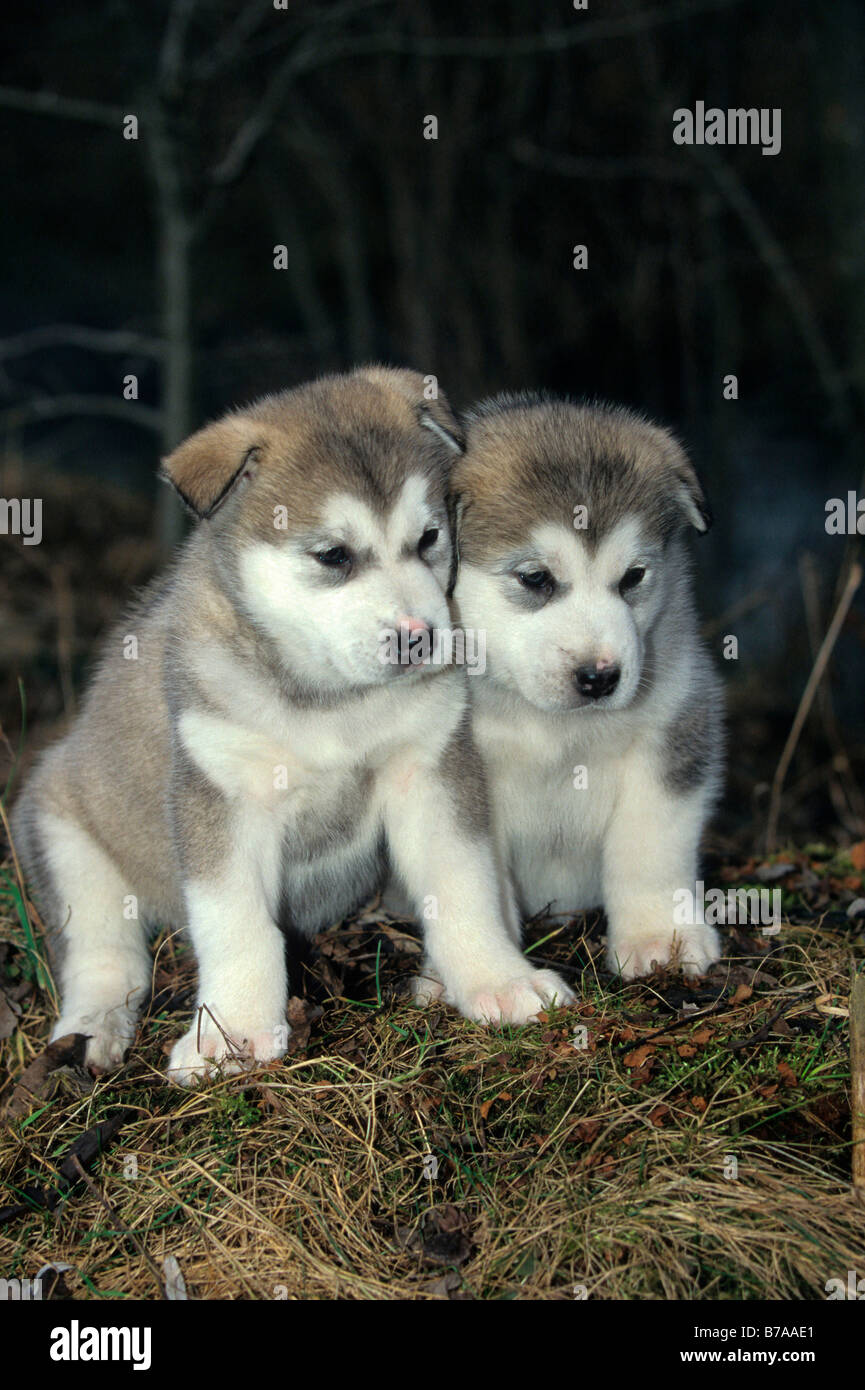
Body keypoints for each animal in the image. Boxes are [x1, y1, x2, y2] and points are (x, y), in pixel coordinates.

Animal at [11, 372, 575, 1084]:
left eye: (428, 539)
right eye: (332, 555)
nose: (420, 638)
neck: (332, 701)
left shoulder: (431, 768)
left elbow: (462, 881)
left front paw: (499, 980)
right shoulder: (222, 793)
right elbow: (238, 922)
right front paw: (232, 1033)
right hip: (65, 834)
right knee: (104, 958)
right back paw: (92, 1032)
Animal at [433, 391, 723, 978]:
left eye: (634, 577)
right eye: (535, 578)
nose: (600, 677)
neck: (554, 728)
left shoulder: (679, 724)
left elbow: (652, 844)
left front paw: (660, 935)